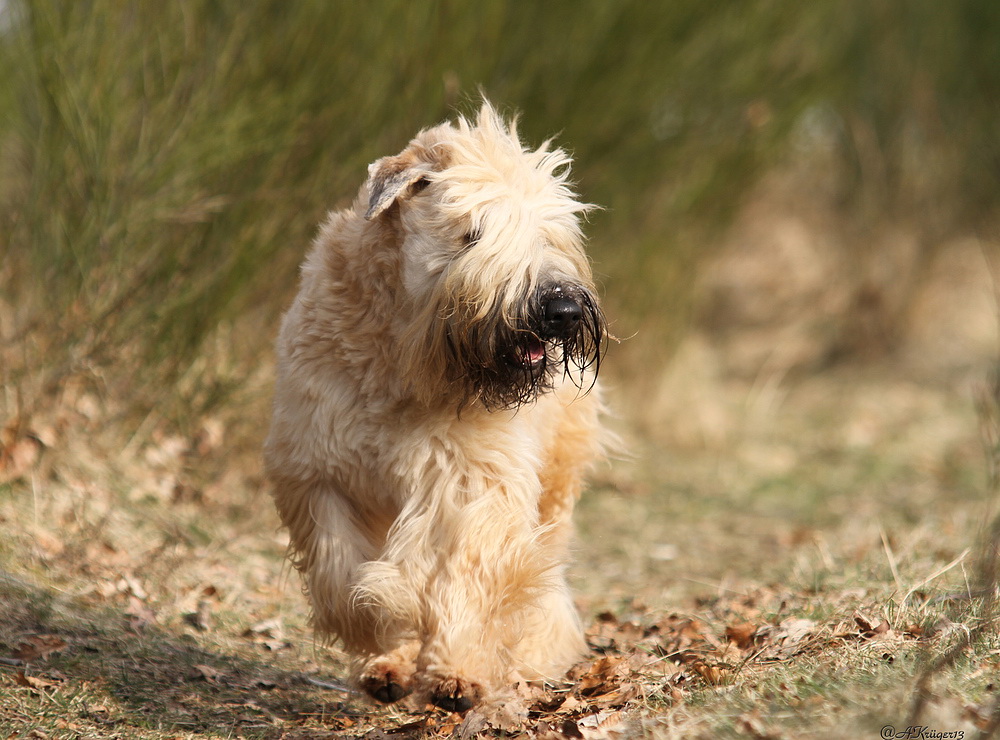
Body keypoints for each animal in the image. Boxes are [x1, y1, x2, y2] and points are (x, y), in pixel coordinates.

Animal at [266, 102, 604, 712]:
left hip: (555, 487)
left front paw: (456, 671)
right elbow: (339, 571)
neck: (400, 363)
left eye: (546, 232)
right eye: (473, 232)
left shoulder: (473, 477)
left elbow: (462, 570)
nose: (561, 309)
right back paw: (389, 664)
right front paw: (384, 629)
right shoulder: (317, 469)